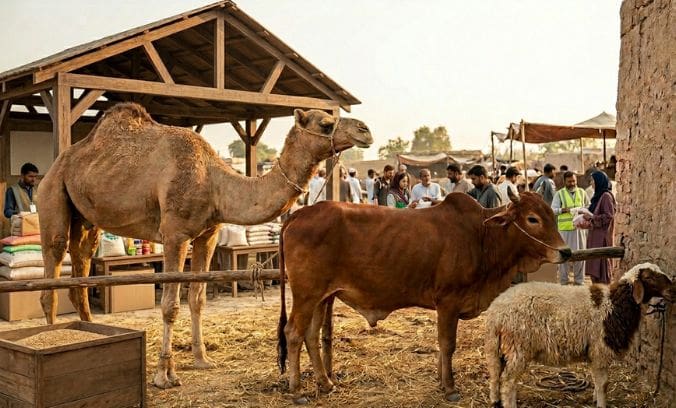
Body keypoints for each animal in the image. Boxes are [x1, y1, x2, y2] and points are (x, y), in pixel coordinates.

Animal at [37, 102, 372, 388]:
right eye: (326, 123)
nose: (365, 130)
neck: (214, 181)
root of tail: (58, 162)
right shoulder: (175, 234)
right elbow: (170, 305)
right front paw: (164, 375)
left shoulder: (207, 235)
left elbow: (197, 298)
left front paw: (201, 359)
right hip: (52, 192)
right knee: (53, 264)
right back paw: (52, 336)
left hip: (86, 217)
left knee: (80, 264)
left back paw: (89, 332)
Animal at [276, 190, 571, 403]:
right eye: (532, 218)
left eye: (551, 215)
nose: (565, 252)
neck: (481, 235)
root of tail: (297, 214)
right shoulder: (448, 302)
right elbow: (447, 344)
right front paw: (450, 388)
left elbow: (442, 346)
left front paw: (442, 382)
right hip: (306, 295)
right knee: (294, 334)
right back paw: (297, 391)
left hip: (322, 297)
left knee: (311, 336)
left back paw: (326, 383)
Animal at [484, 263, 673, 408]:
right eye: (649, 277)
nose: (673, 290)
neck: (615, 303)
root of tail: (496, 311)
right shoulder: (600, 350)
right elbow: (603, 384)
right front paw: (601, 403)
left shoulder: (594, 353)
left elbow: (598, 382)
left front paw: (595, 398)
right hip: (518, 347)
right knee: (508, 381)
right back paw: (509, 403)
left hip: (496, 348)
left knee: (495, 376)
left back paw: (495, 400)